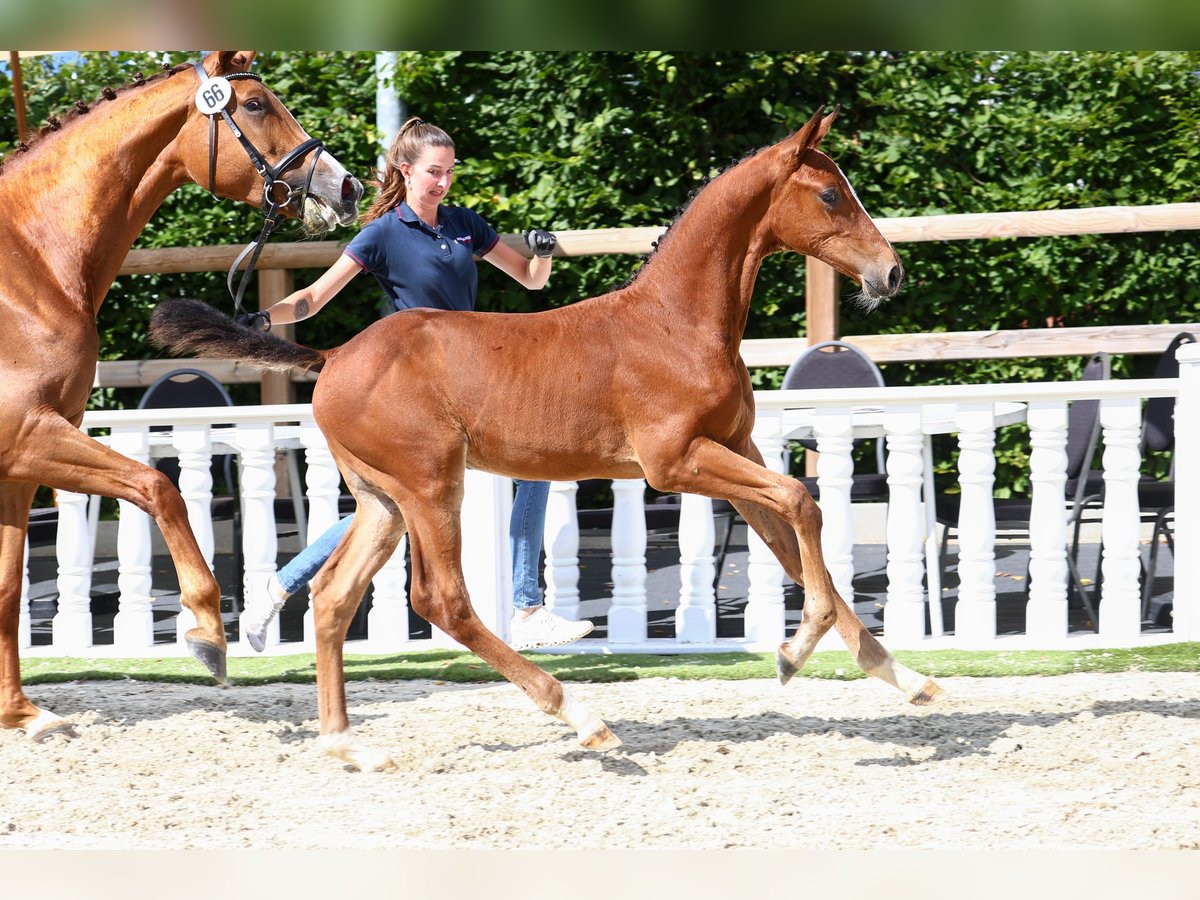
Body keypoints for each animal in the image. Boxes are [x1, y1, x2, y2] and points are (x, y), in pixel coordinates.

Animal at [2, 51, 362, 739]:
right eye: (255, 105)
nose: (347, 186)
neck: (28, 267)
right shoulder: (28, 435)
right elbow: (158, 486)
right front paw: (207, 632)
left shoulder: (20, 460)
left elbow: (8, 587)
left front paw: (22, 715)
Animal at [154, 103, 945, 768]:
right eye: (830, 195)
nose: (892, 272)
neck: (676, 322)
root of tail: (334, 357)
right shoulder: (675, 463)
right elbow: (804, 504)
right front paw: (794, 650)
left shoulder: (735, 450)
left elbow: (795, 538)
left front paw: (905, 678)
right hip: (430, 484)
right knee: (441, 599)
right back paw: (582, 717)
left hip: (383, 500)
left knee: (333, 596)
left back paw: (348, 744)